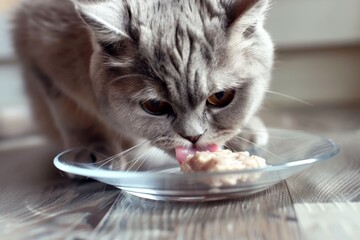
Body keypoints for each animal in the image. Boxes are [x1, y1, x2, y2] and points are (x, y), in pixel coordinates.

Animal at [11, 0, 272, 169]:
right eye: (154, 106)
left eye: (220, 97)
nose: (193, 137)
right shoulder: (40, 57)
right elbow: (75, 116)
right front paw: (92, 149)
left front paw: (245, 132)